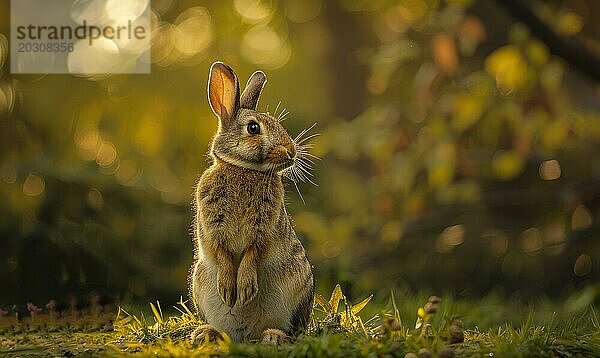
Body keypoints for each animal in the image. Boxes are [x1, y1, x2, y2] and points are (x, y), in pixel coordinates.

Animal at [190, 61, 316, 344]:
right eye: (254, 128)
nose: (291, 152)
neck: (244, 169)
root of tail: (246, 334)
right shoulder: (213, 226)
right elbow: (221, 252)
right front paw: (229, 290)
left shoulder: (264, 227)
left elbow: (253, 252)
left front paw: (245, 289)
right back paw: (206, 333)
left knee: (290, 331)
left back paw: (273, 337)